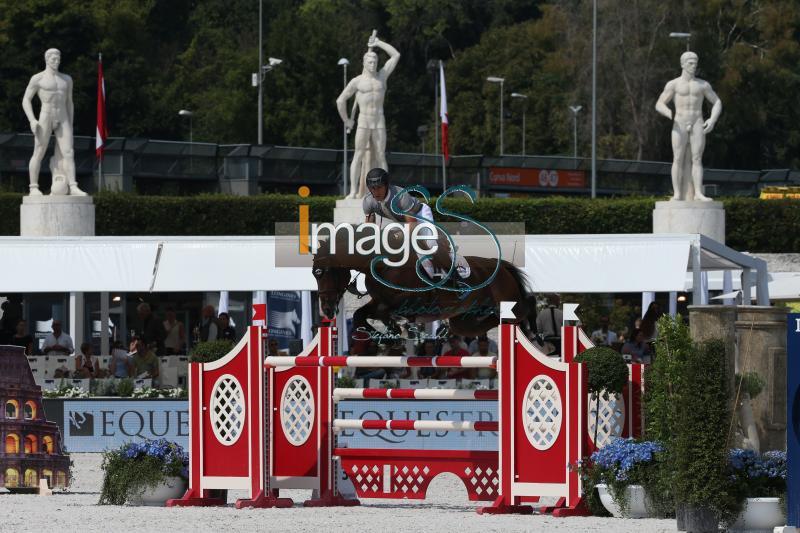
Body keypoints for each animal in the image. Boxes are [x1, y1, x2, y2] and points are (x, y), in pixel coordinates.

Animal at [310, 223, 532, 350]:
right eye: (314, 274)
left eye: (325, 272)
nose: (327, 309)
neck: (382, 264)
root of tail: (501, 265)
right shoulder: (379, 301)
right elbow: (359, 316)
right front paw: (387, 337)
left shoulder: (409, 304)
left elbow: (388, 314)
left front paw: (393, 334)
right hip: (462, 320)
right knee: (481, 324)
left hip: (510, 301)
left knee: (521, 312)